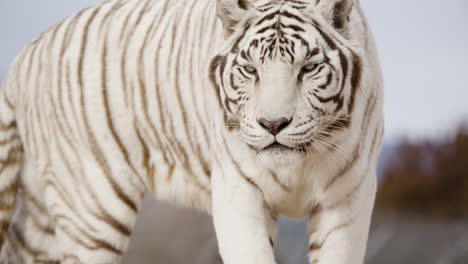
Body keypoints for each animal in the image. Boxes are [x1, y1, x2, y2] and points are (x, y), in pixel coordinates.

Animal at [0, 0, 382, 262]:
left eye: (308, 68)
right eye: (250, 69)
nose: (273, 124)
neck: (299, 166)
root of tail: (24, 54)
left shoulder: (348, 199)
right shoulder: (238, 194)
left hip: (43, 212)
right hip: (92, 209)